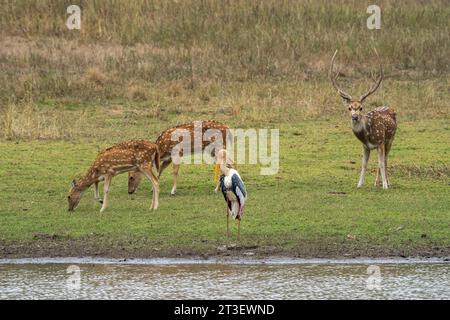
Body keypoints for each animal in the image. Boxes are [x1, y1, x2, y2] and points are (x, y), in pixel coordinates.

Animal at [326, 49, 398, 189]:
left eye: (361, 107)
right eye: (349, 108)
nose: (355, 116)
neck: (368, 135)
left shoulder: (380, 142)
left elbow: (381, 162)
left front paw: (385, 185)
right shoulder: (365, 146)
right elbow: (364, 163)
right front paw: (359, 184)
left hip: (390, 139)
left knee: (385, 159)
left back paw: (386, 181)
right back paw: (376, 182)